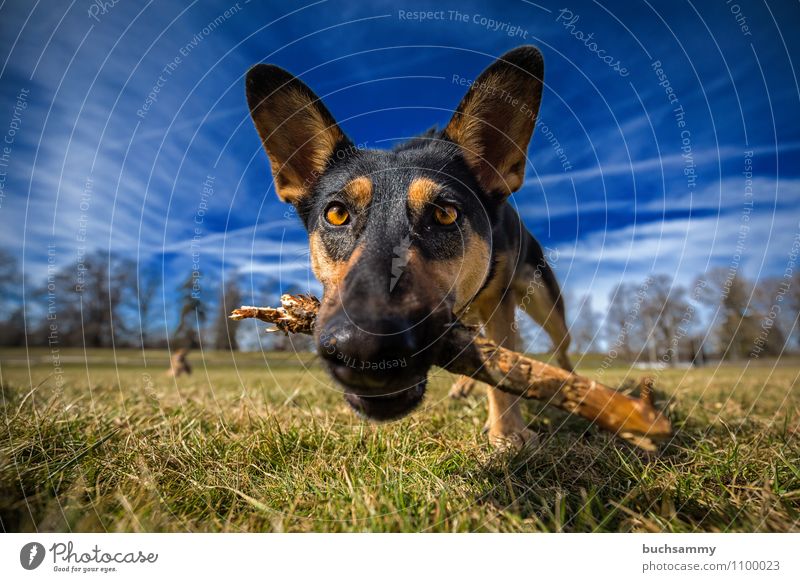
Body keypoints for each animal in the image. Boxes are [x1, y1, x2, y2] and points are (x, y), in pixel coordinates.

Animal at [247, 46, 572, 452]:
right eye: (337, 214)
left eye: (445, 214)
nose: (365, 350)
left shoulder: (499, 301)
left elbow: (502, 366)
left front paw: (508, 431)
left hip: (544, 300)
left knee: (562, 348)